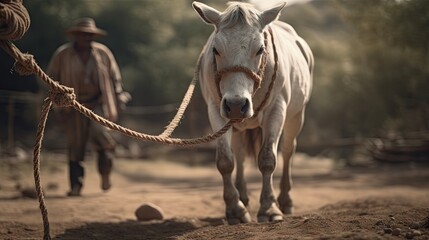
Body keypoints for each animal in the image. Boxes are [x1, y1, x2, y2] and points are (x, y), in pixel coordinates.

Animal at [192, 0, 312, 224]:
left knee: (288, 150)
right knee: (239, 153)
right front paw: (235, 209)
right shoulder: (216, 110)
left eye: (260, 49)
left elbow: (267, 159)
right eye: (216, 49)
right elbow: (225, 161)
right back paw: (244, 196)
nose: (236, 104)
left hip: (296, 116)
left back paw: (286, 200)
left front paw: (269, 208)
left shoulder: (277, 110)